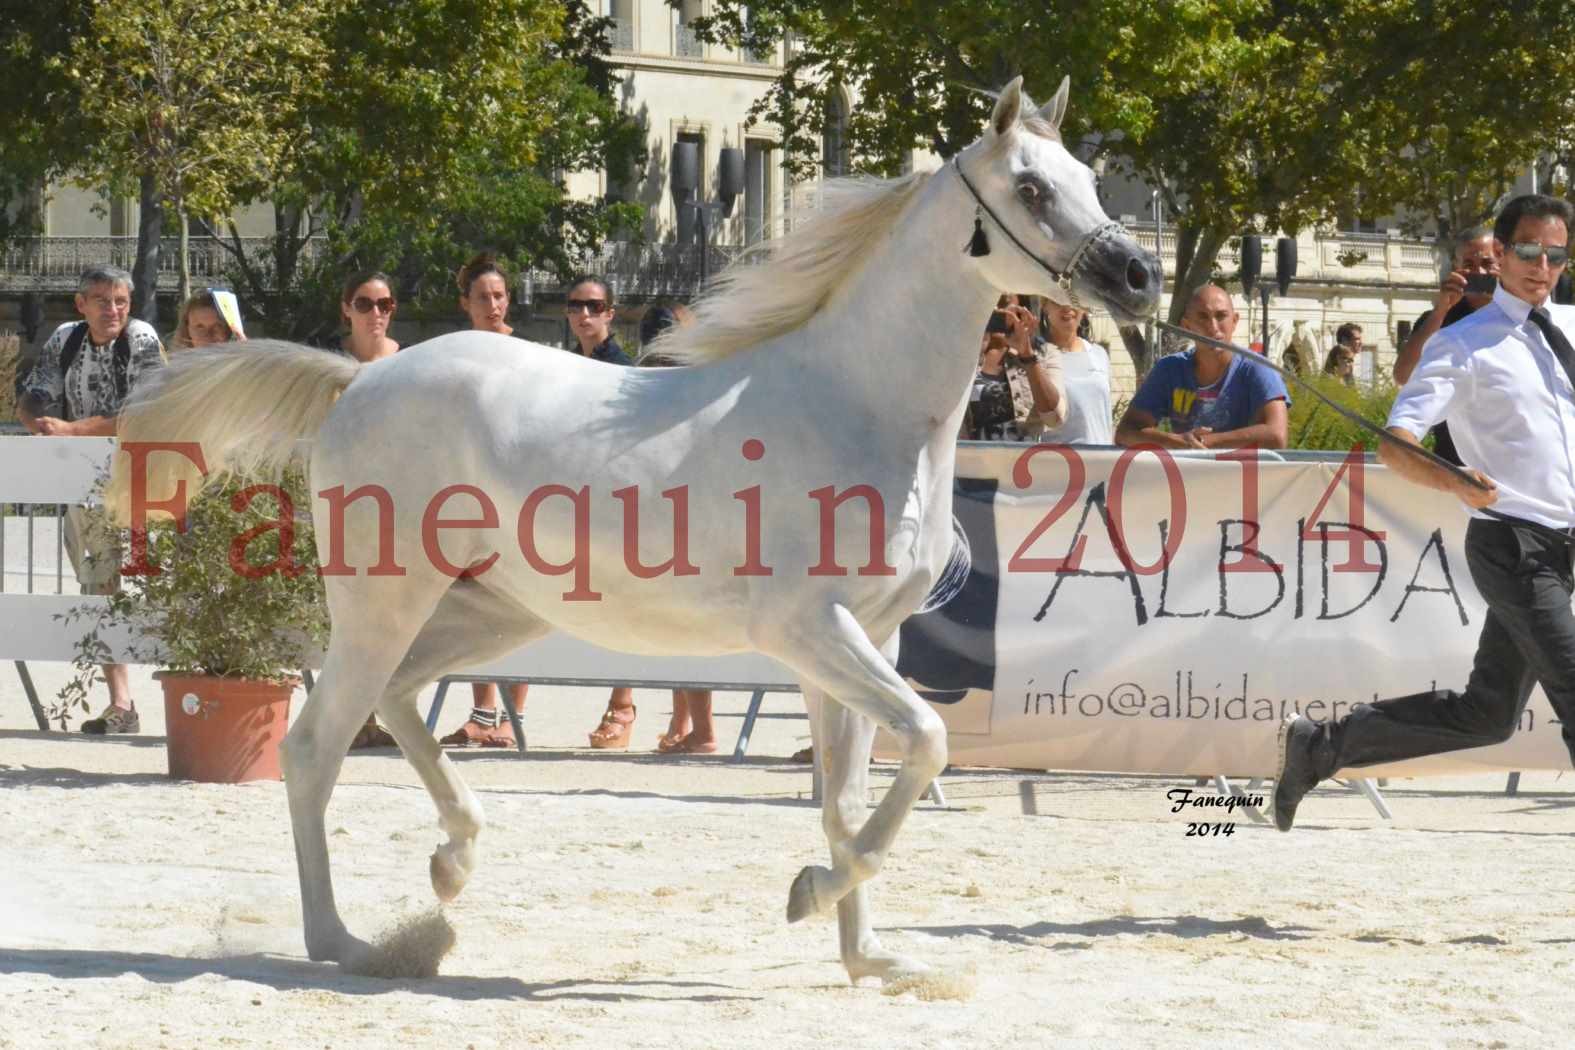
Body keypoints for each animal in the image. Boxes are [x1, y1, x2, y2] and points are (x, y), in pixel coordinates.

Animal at [111, 80, 1159, 988]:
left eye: (1089, 177)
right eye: (1031, 187)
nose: (1137, 274)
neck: (857, 402)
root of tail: (360, 377)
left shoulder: (869, 637)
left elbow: (852, 795)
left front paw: (867, 956)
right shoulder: (806, 630)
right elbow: (930, 741)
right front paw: (813, 895)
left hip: (496, 613)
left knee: (402, 702)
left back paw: (450, 870)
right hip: (385, 603)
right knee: (315, 748)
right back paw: (349, 942)